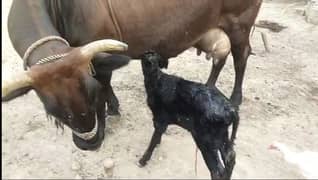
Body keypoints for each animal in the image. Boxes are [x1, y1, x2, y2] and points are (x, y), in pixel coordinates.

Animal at [139, 51, 238, 180]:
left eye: (146, 55)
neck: (157, 79)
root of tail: (231, 110)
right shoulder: (162, 121)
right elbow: (157, 136)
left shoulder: (159, 118)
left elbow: (153, 140)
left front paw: (143, 160)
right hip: (221, 137)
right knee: (230, 158)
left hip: (206, 141)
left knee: (217, 171)